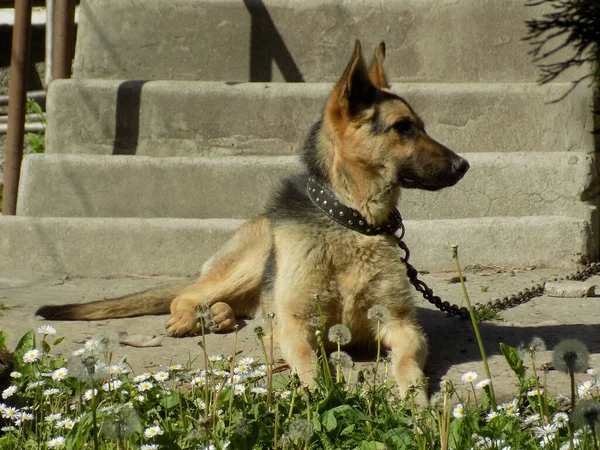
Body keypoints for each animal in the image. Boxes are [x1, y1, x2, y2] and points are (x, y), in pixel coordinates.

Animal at [36, 41, 468, 400]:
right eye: (403, 127)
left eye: (420, 126)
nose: (464, 165)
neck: (352, 222)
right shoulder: (295, 325)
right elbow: (309, 363)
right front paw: (321, 394)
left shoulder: (402, 325)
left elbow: (408, 364)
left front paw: (416, 403)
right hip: (251, 258)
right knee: (186, 295)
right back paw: (190, 318)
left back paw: (220, 317)